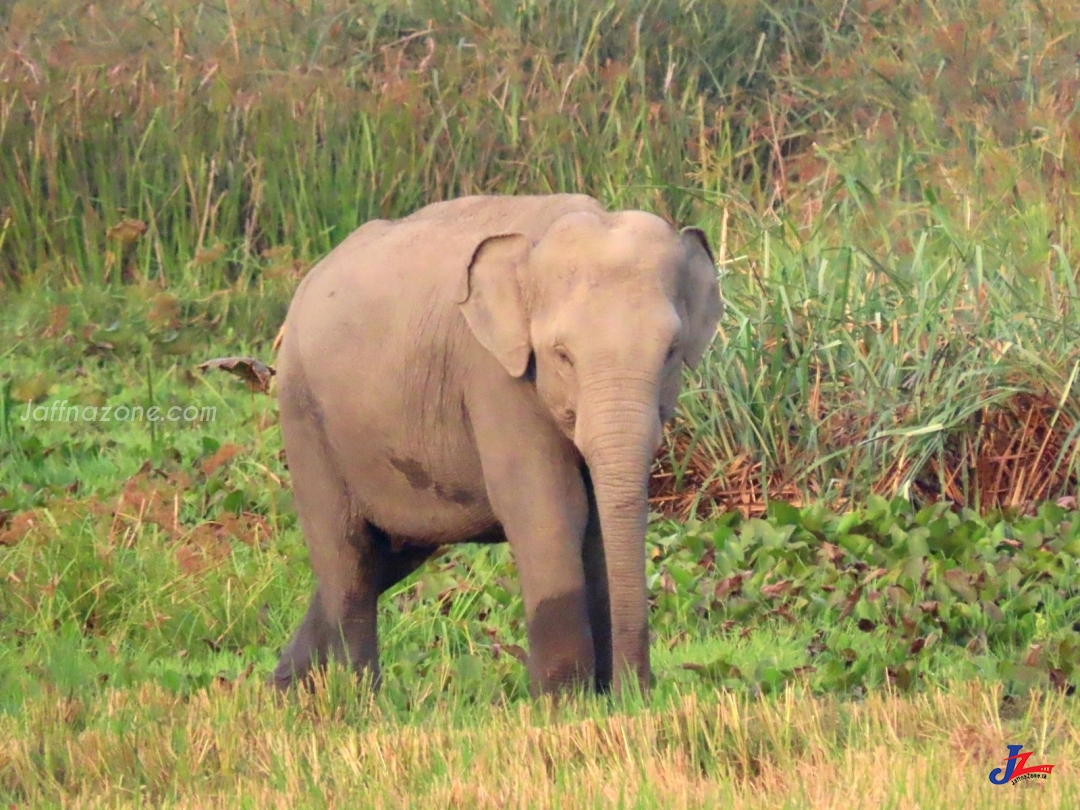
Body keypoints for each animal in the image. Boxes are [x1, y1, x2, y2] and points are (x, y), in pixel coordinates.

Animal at [272, 193, 725, 699]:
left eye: (671, 351)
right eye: (562, 355)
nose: (638, 691)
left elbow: (593, 525)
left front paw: (599, 696)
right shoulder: (493, 377)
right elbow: (548, 507)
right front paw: (563, 702)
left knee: (383, 559)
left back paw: (285, 691)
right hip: (305, 418)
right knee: (347, 558)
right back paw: (358, 698)